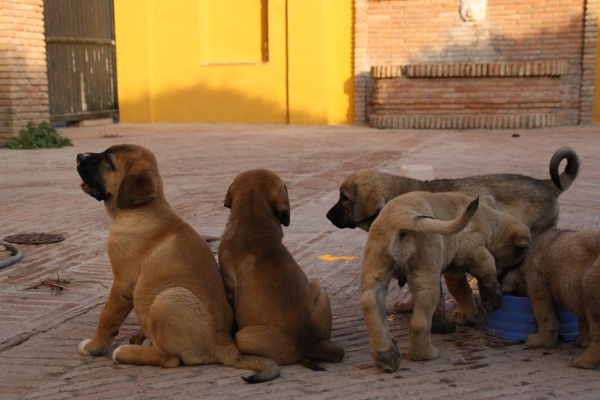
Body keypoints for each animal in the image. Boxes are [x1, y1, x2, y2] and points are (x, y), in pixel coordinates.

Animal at [76, 145, 280, 382]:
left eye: (108, 160)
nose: (78, 156)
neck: (142, 210)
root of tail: (224, 345)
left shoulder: (122, 284)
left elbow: (106, 317)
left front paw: (93, 346)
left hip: (168, 298)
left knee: (168, 359)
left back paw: (124, 352)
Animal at [360, 191, 528, 372]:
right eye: (514, 260)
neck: (488, 220)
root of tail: (400, 216)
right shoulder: (475, 251)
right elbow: (486, 273)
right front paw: (491, 299)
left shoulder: (451, 268)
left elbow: (456, 292)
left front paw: (457, 316)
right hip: (426, 271)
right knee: (419, 323)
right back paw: (424, 354)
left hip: (377, 268)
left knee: (371, 303)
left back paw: (385, 355)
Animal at [502, 228, 600, 368]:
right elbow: (583, 318)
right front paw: (581, 341)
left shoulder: (536, 275)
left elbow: (543, 311)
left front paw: (538, 341)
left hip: (593, 279)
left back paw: (581, 362)